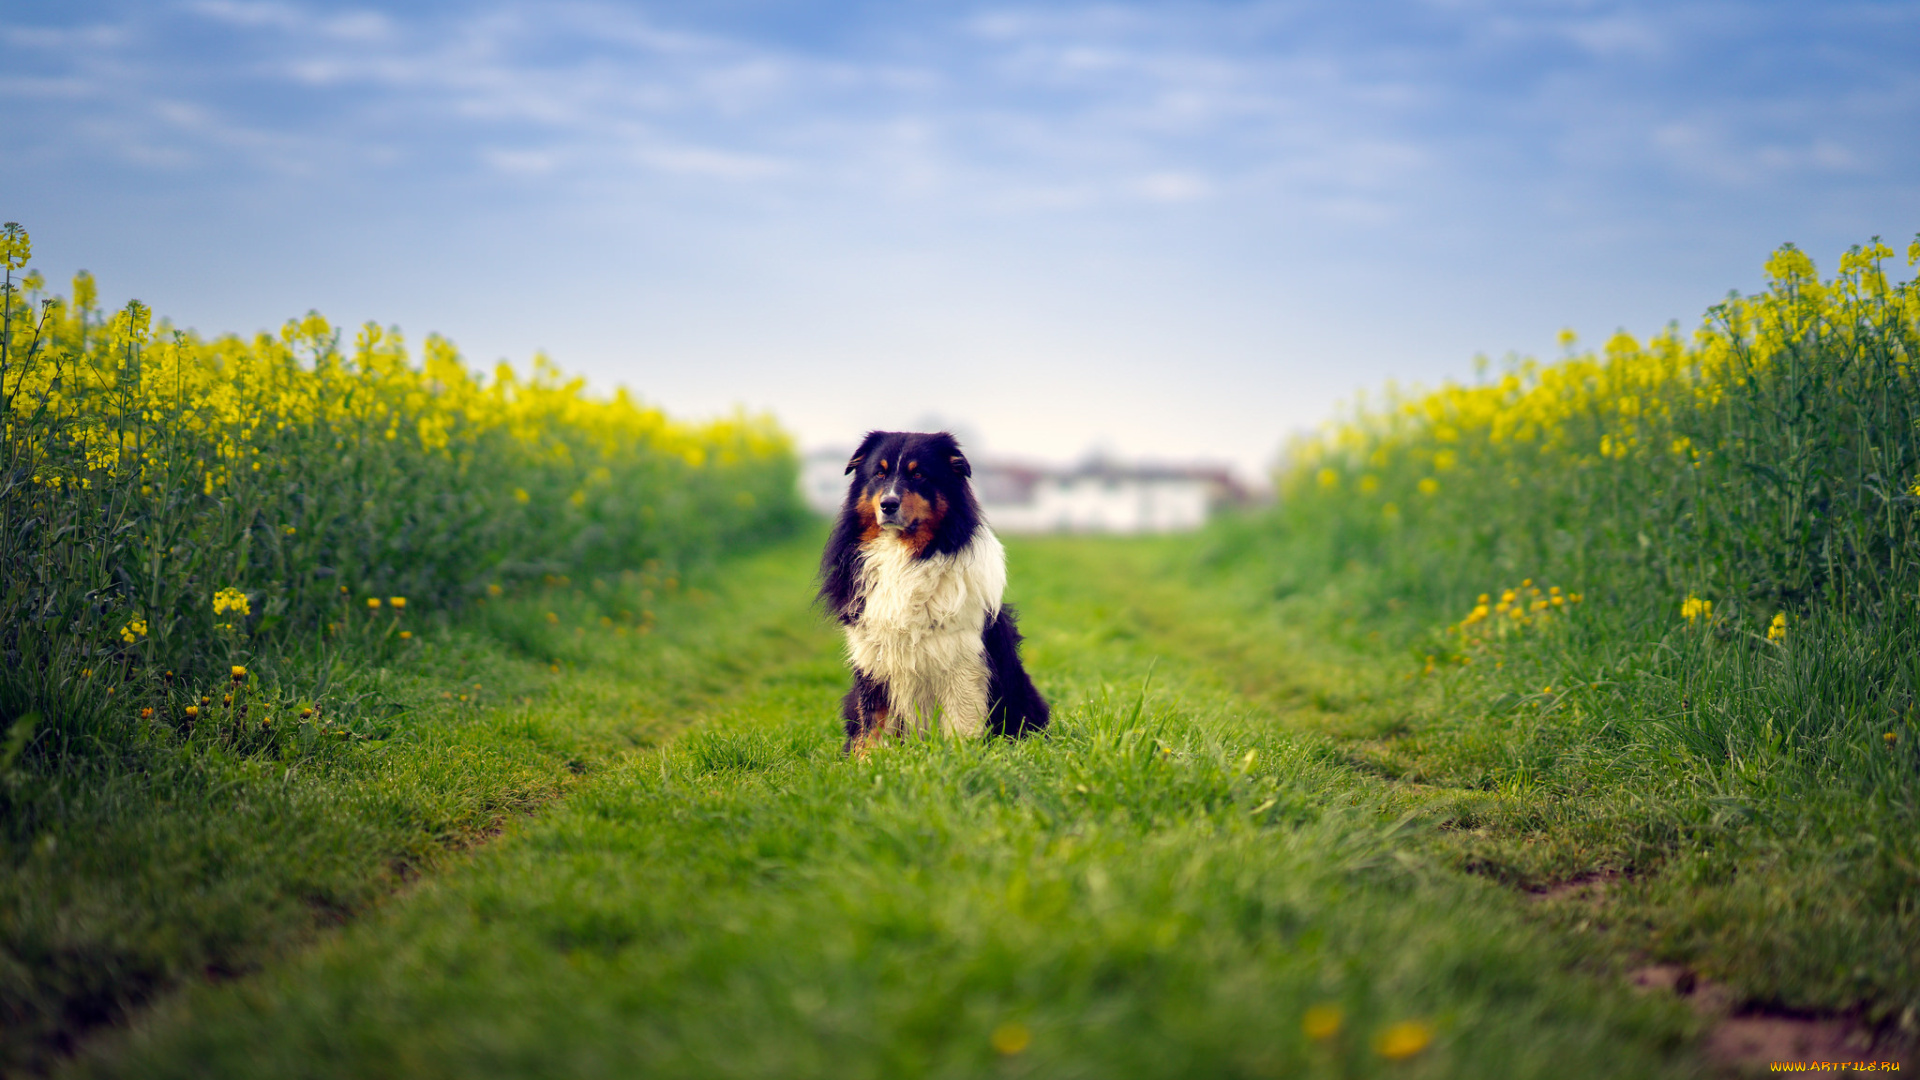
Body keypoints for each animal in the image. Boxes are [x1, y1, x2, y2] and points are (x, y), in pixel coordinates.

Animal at [814, 426, 1052, 749]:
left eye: (918, 475)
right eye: (879, 473)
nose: (888, 504)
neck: (904, 554)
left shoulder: (962, 658)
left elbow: (961, 722)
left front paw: (960, 754)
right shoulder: (872, 658)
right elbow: (873, 722)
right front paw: (870, 759)